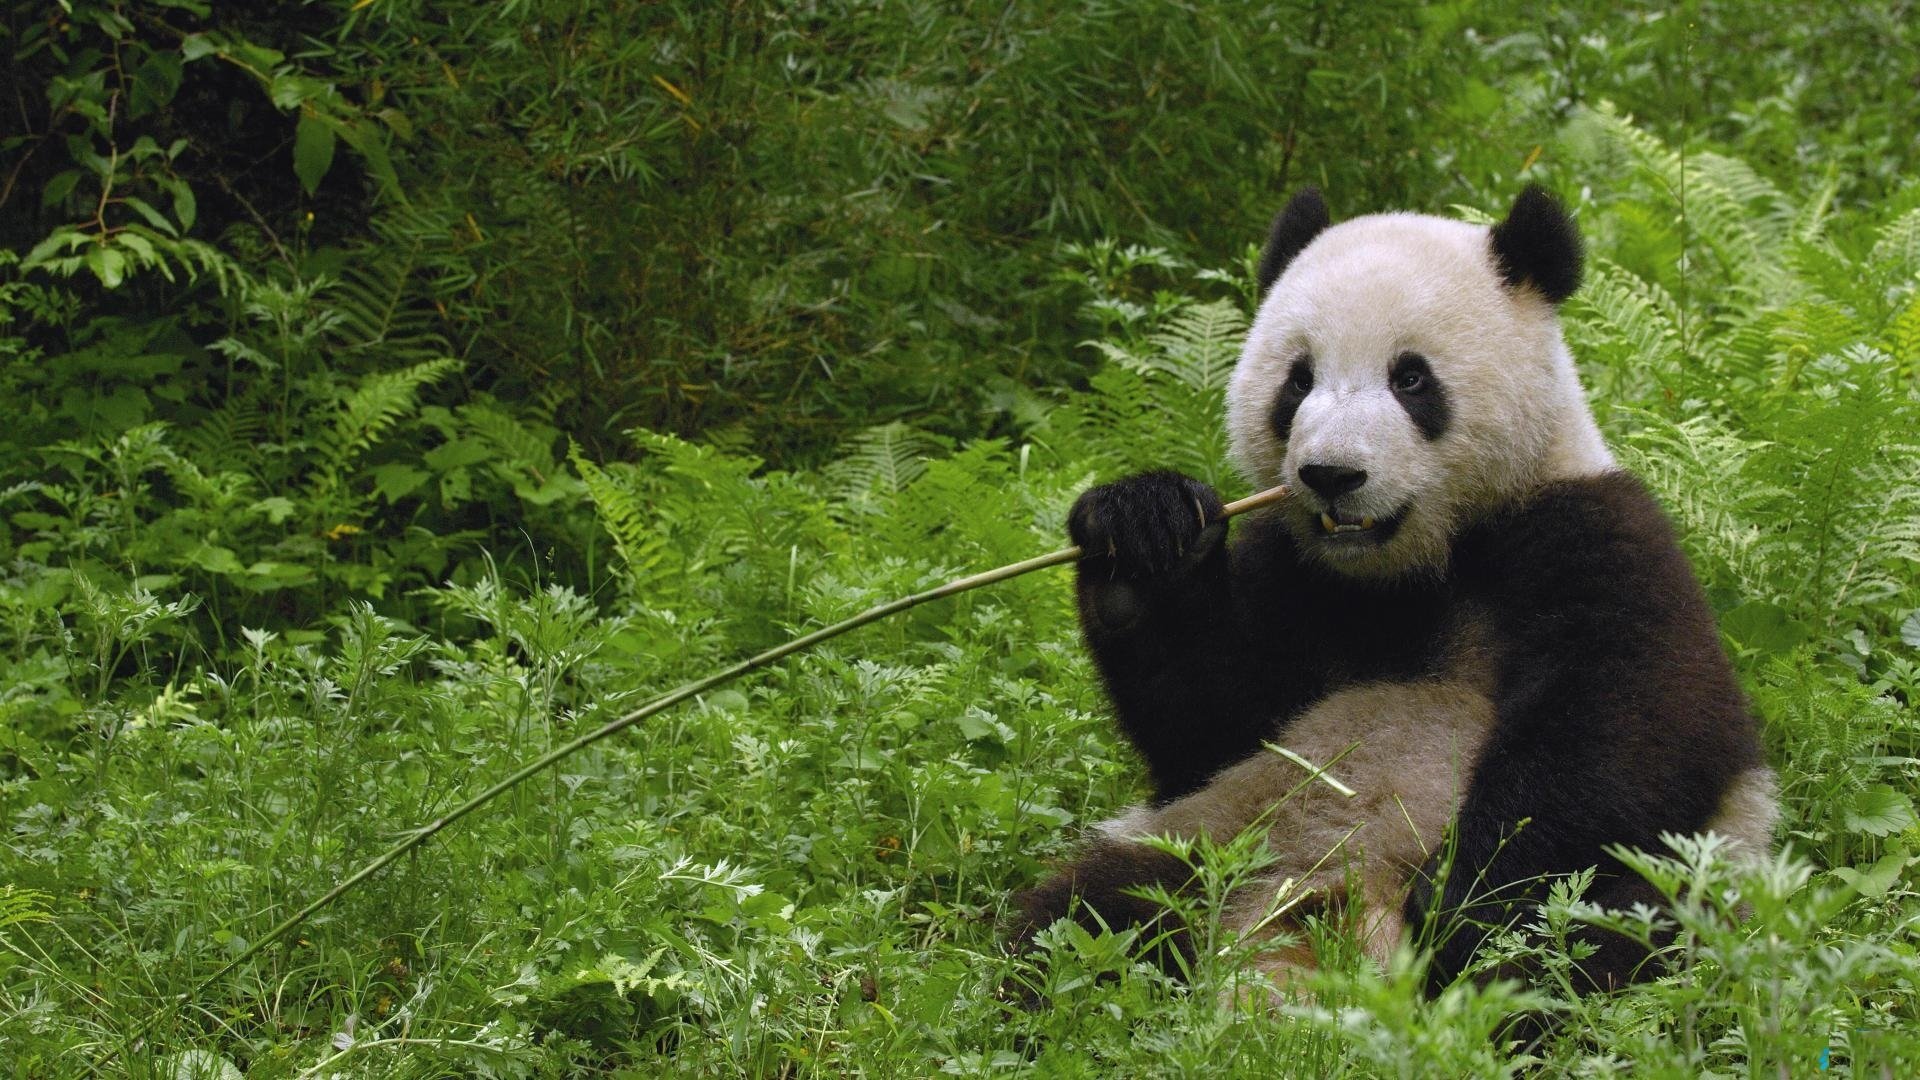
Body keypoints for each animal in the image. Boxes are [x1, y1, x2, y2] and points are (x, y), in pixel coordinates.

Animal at [1011, 185, 1779, 997]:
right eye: (1298, 379)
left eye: (1411, 379)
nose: (1331, 475)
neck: (1412, 566)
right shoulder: (1294, 574)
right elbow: (1209, 722)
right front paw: (1143, 534)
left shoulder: (1594, 536)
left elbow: (1631, 727)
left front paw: (1461, 901)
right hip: (1213, 837)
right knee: (1087, 916)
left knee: (1589, 935)